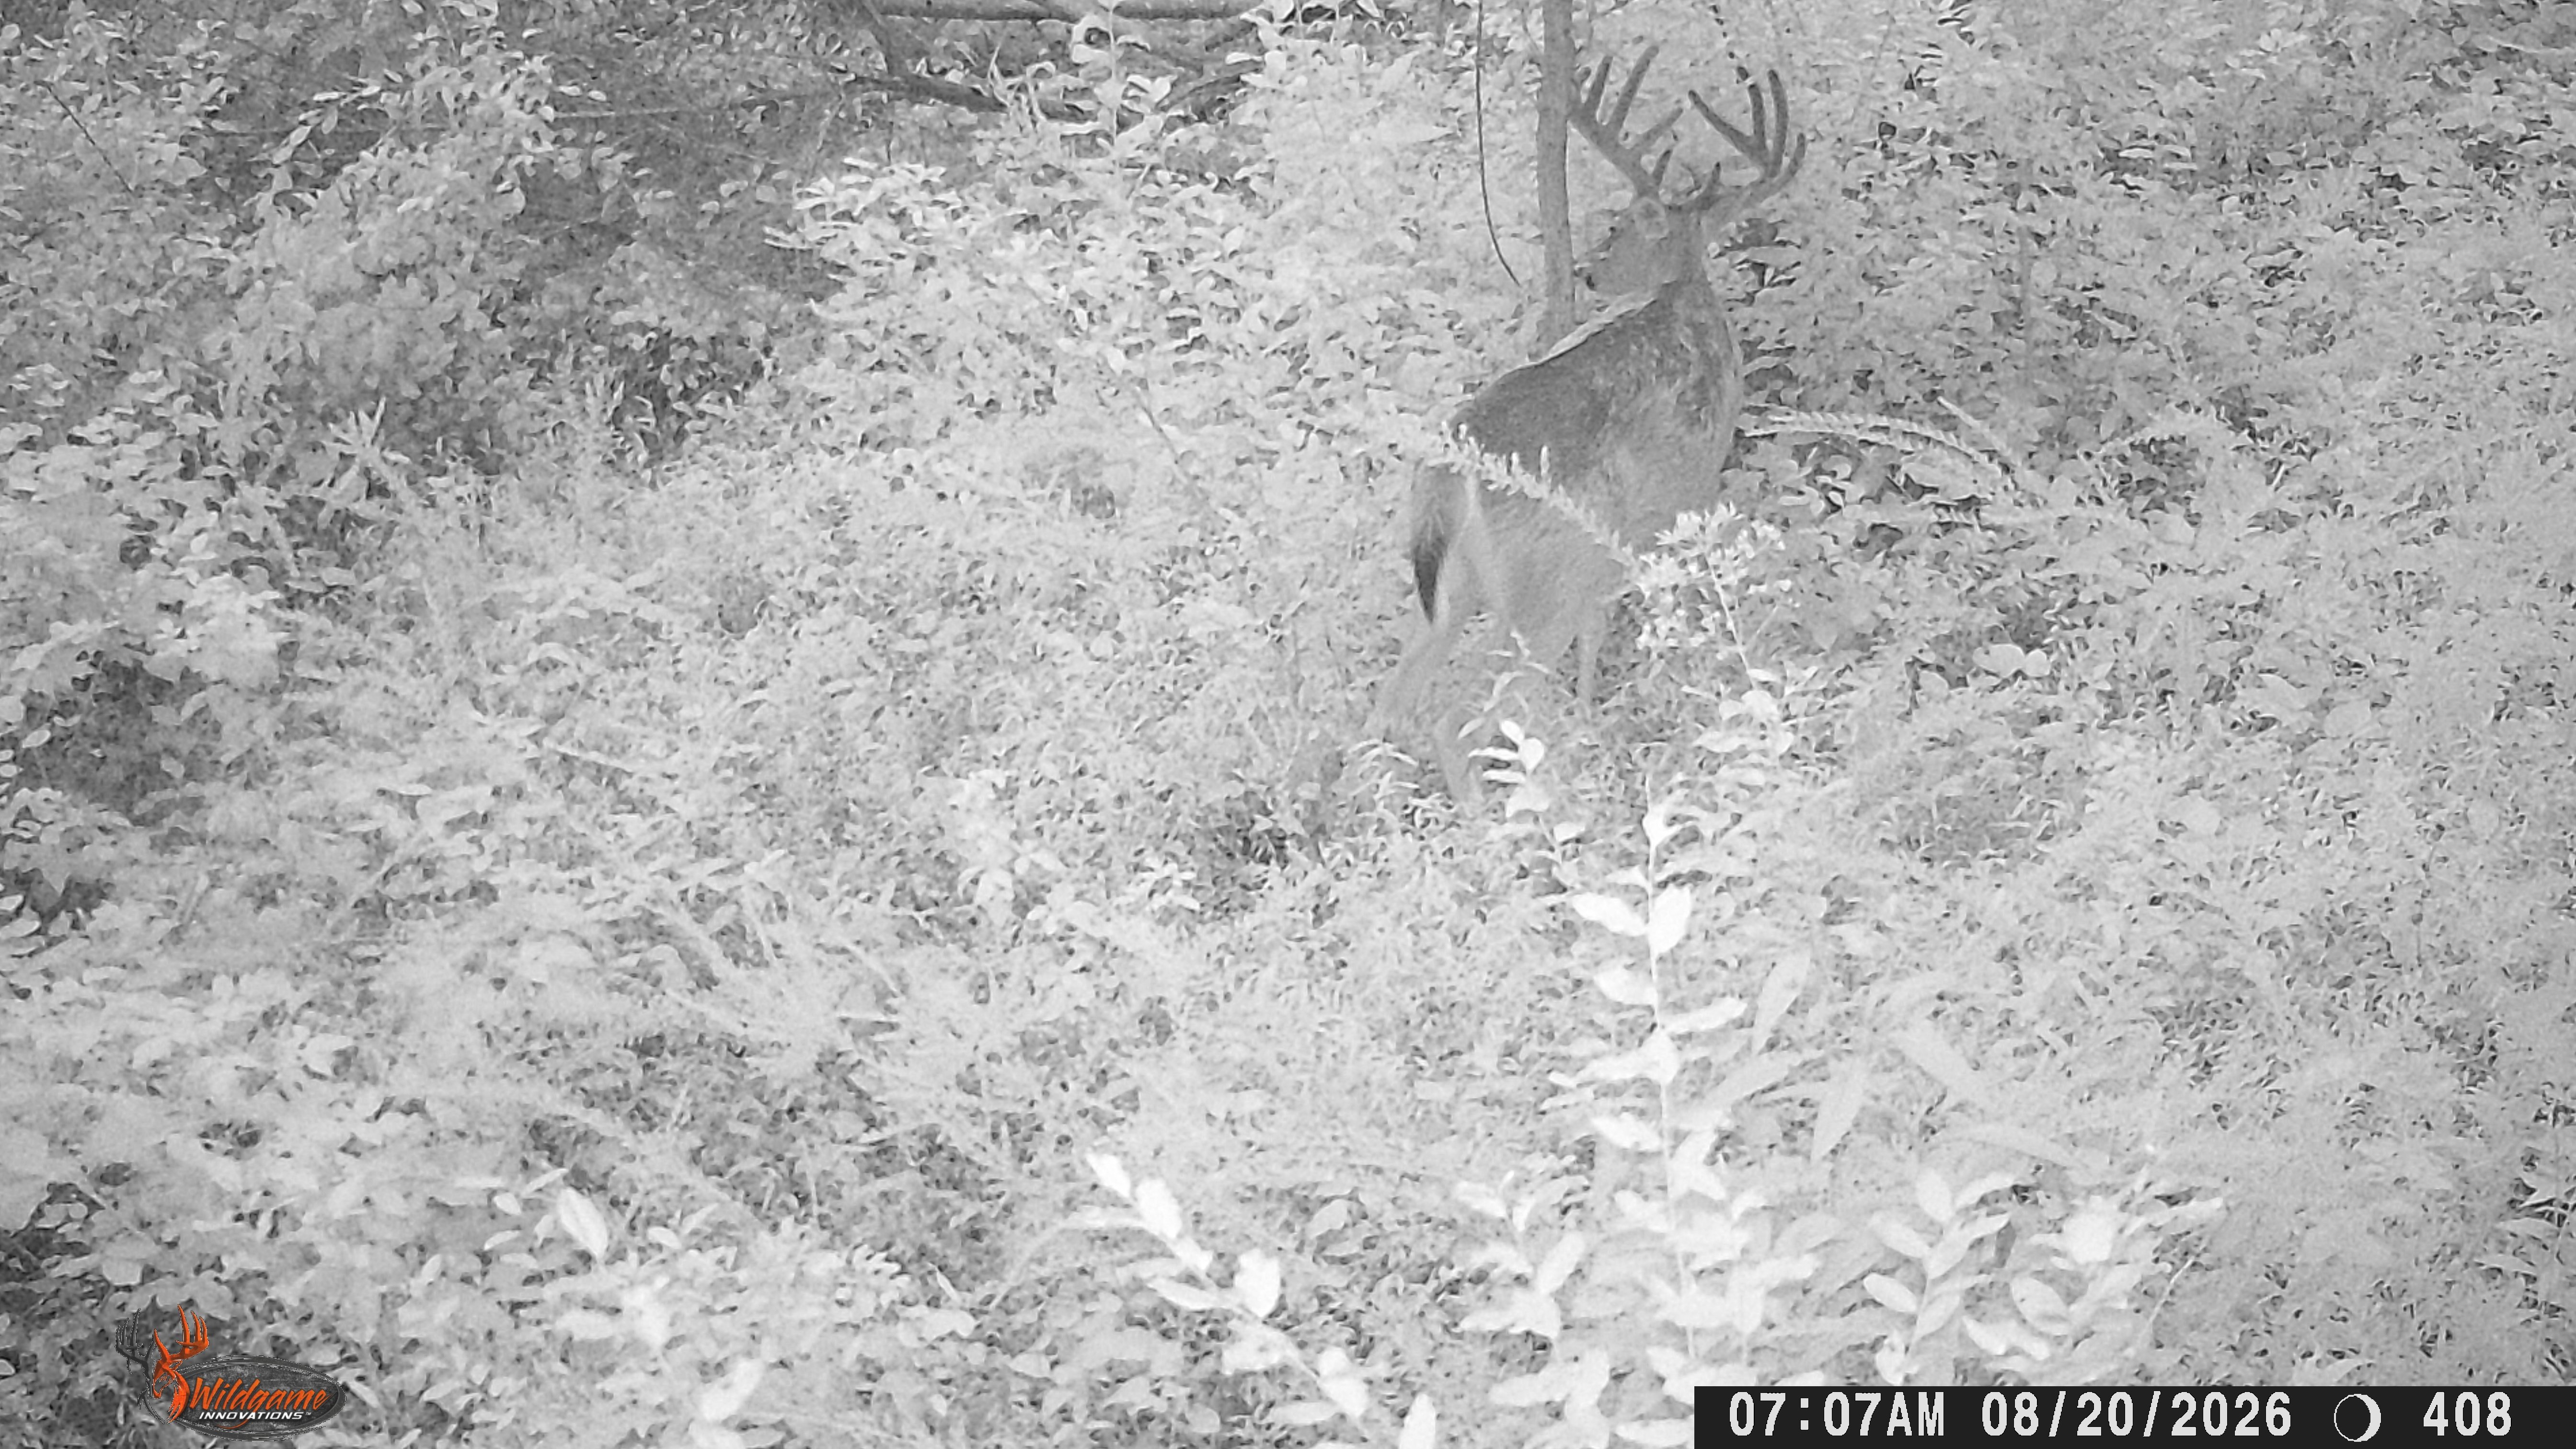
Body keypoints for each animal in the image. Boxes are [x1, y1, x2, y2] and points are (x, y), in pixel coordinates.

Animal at [1368, 50, 1806, 798]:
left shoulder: (1605, 555)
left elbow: (1597, 634)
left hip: (1451, 595)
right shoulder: (1682, 493)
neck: (1684, 302)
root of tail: (1454, 476)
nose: (1591, 273)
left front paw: (1588, 717)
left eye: (1616, 229)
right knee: (1460, 722)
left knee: (1391, 701)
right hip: (1535, 589)